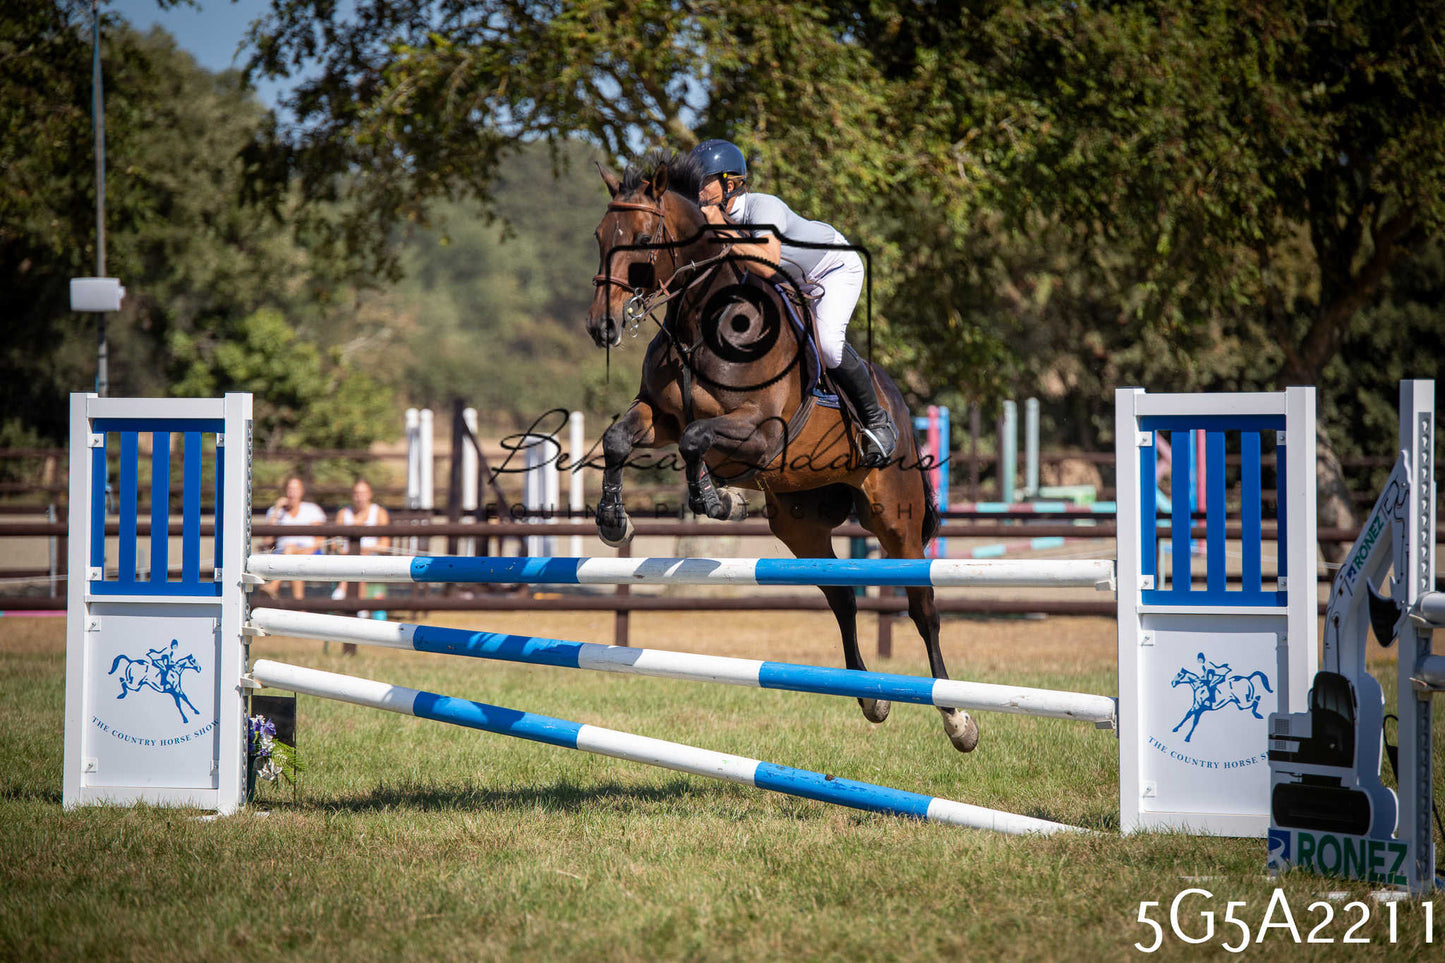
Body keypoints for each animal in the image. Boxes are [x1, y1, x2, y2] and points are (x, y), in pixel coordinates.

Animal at [586, 150, 977, 754]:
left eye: (644, 240)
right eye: (601, 237)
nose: (601, 327)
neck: (699, 322)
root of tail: (902, 411)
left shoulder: (762, 432)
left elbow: (699, 441)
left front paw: (719, 501)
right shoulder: (661, 415)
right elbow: (619, 439)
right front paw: (613, 521)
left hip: (896, 517)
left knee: (922, 607)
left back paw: (958, 720)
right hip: (800, 524)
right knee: (842, 598)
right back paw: (871, 697)